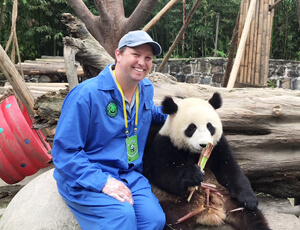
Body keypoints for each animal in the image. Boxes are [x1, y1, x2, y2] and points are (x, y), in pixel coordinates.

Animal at [143, 92, 270, 229]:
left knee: (252, 217)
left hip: (229, 198)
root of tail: (211, 209)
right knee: (171, 220)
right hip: (177, 206)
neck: (196, 153)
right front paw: (194, 175)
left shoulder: (217, 146)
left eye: (210, 126)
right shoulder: (165, 144)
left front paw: (249, 199)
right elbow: (160, 173)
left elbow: (229, 168)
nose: (203, 144)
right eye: (191, 128)